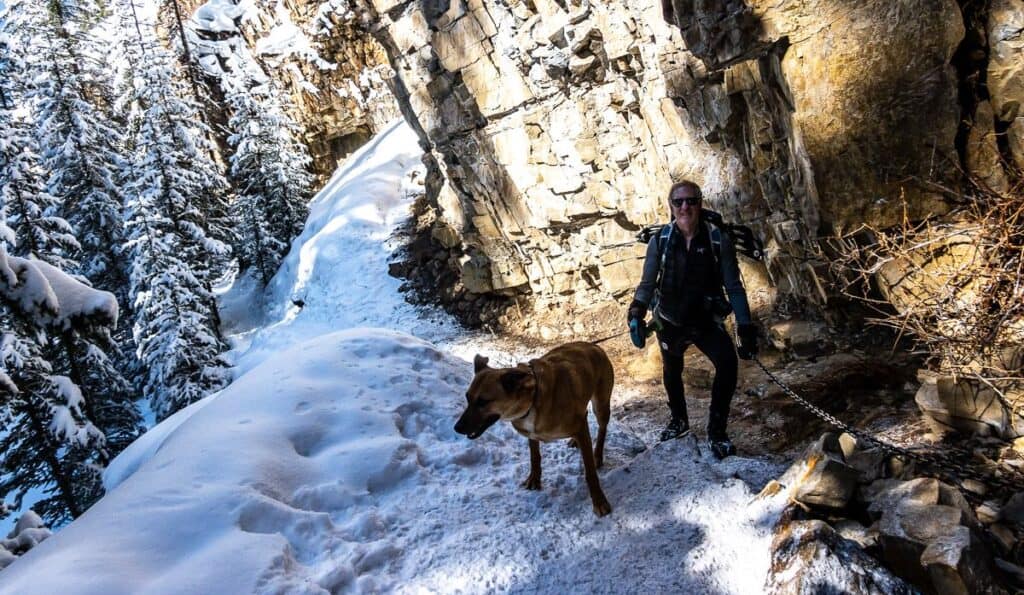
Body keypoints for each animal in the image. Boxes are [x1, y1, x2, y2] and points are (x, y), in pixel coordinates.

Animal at [452, 344, 610, 514]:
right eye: (467, 397)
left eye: (483, 402)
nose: (457, 428)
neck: (532, 400)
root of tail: (594, 346)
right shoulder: (532, 434)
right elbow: (535, 457)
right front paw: (534, 479)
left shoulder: (579, 426)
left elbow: (590, 472)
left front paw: (599, 500)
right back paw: (575, 441)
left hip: (600, 406)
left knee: (602, 429)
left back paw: (597, 455)